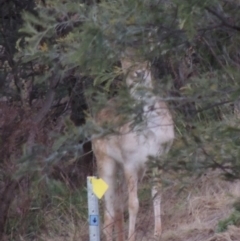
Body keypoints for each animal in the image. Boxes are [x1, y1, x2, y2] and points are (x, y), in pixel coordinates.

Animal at [92, 49, 174, 241]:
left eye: (146, 59)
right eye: (126, 62)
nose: (139, 72)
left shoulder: (158, 156)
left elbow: (156, 193)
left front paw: (158, 231)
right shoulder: (130, 162)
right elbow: (133, 204)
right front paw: (132, 237)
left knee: (117, 206)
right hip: (105, 163)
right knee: (108, 209)